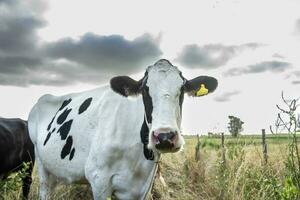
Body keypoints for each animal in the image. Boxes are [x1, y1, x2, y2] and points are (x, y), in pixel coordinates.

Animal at [28, 59, 217, 200]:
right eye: (145, 90)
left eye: (182, 89)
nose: (164, 137)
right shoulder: (98, 179)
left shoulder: (141, 188)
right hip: (41, 164)